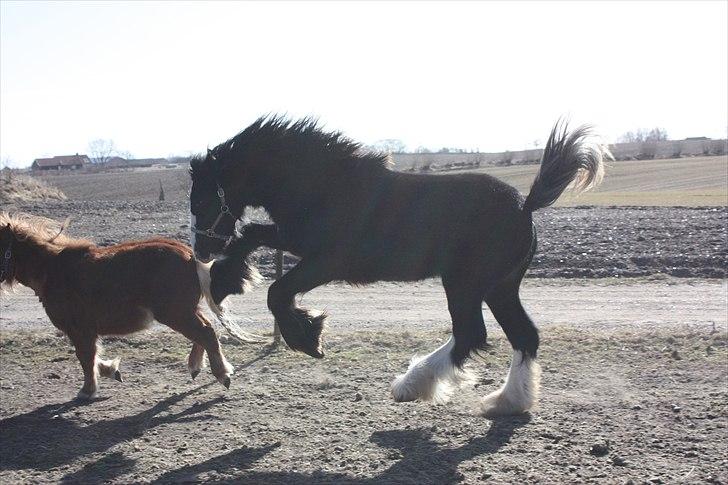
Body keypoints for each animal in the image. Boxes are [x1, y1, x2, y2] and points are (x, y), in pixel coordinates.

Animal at [0, 211, 262, 398]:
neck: (52, 271)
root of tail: (190, 256)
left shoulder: (80, 329)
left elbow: (85, 357)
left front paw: (87, 390)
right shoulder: (86, 331)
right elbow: (93, 357)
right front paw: (111, 371)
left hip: (175, 313)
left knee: (206, 332)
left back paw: (222, 374)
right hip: (184, 311)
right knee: (205, 330)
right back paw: (196, 366)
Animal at [189, 115, 608, 414]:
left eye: (202, 200)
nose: (203, 250)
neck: (325, 185)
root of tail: (525, 206)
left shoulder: (328, 261)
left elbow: (278, 292)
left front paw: (308, 337)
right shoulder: (294, 238)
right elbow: (252, 235)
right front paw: (226, 280)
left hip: (465, 283)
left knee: (471, 334)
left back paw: (411, 385)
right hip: (499, 287)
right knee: (523, 335)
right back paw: (507, 402)